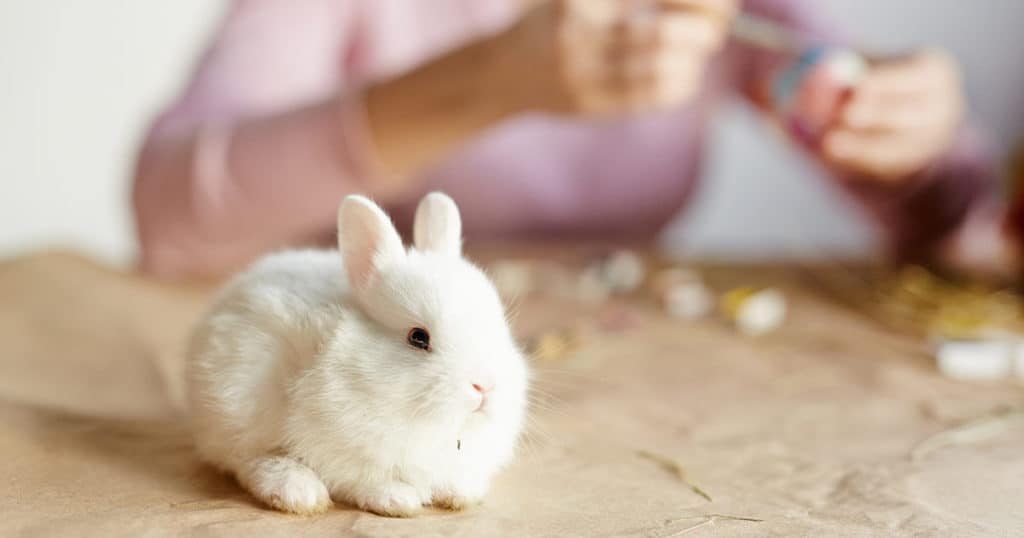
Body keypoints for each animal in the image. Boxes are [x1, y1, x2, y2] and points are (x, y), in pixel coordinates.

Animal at [185, 192, 532, 516]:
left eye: (497, 323)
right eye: (418, 337)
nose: (485, 386)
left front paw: (463, 494)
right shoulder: (345, 451)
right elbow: (362, 480)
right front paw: (397, 499)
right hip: (239, 402)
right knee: (249, 459)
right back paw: (298, 492)